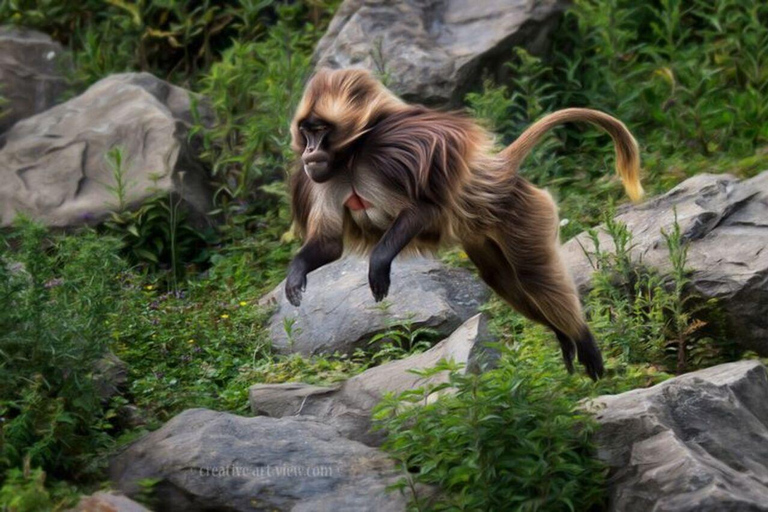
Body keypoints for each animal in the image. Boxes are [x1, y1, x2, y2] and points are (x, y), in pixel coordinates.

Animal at [285, 68, 643, 381]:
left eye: (320, 130)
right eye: (306, 131)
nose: (310, 151)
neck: (351, 158)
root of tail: (501, 171)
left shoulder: (396, 148)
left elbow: (425, 208)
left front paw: (379, 265)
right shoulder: (322, 180)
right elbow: (329, 243)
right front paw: (295, 276)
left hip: (525, 212)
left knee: (532, 274)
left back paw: (583, 339)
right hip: (484, 236)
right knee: (501, 278)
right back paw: (564, 337)